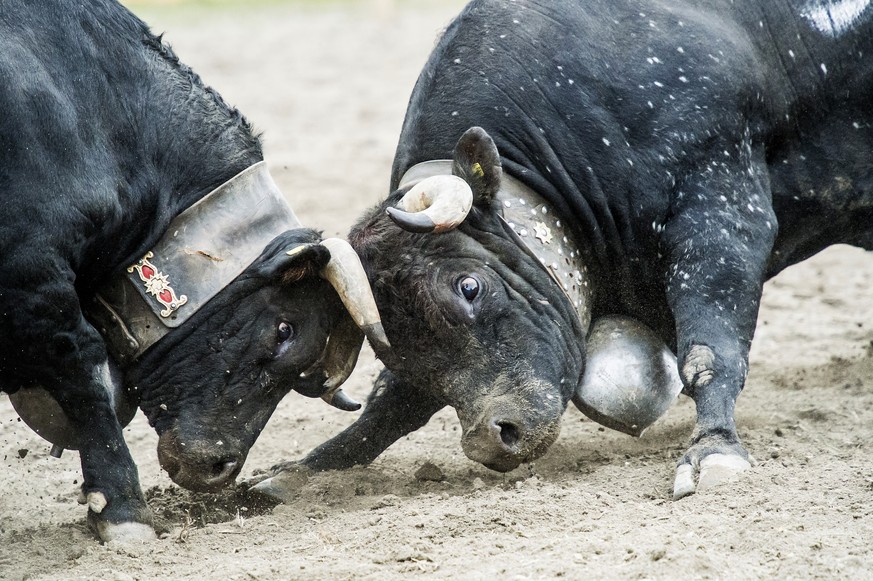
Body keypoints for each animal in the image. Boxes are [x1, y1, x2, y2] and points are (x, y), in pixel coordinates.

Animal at [264, 0, 872, 498]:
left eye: (470, 286)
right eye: (391, 348)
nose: (491, 437)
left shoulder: (721, 206)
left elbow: (709, 352)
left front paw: (714, 449)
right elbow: (391, 407)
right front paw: (306, 470)